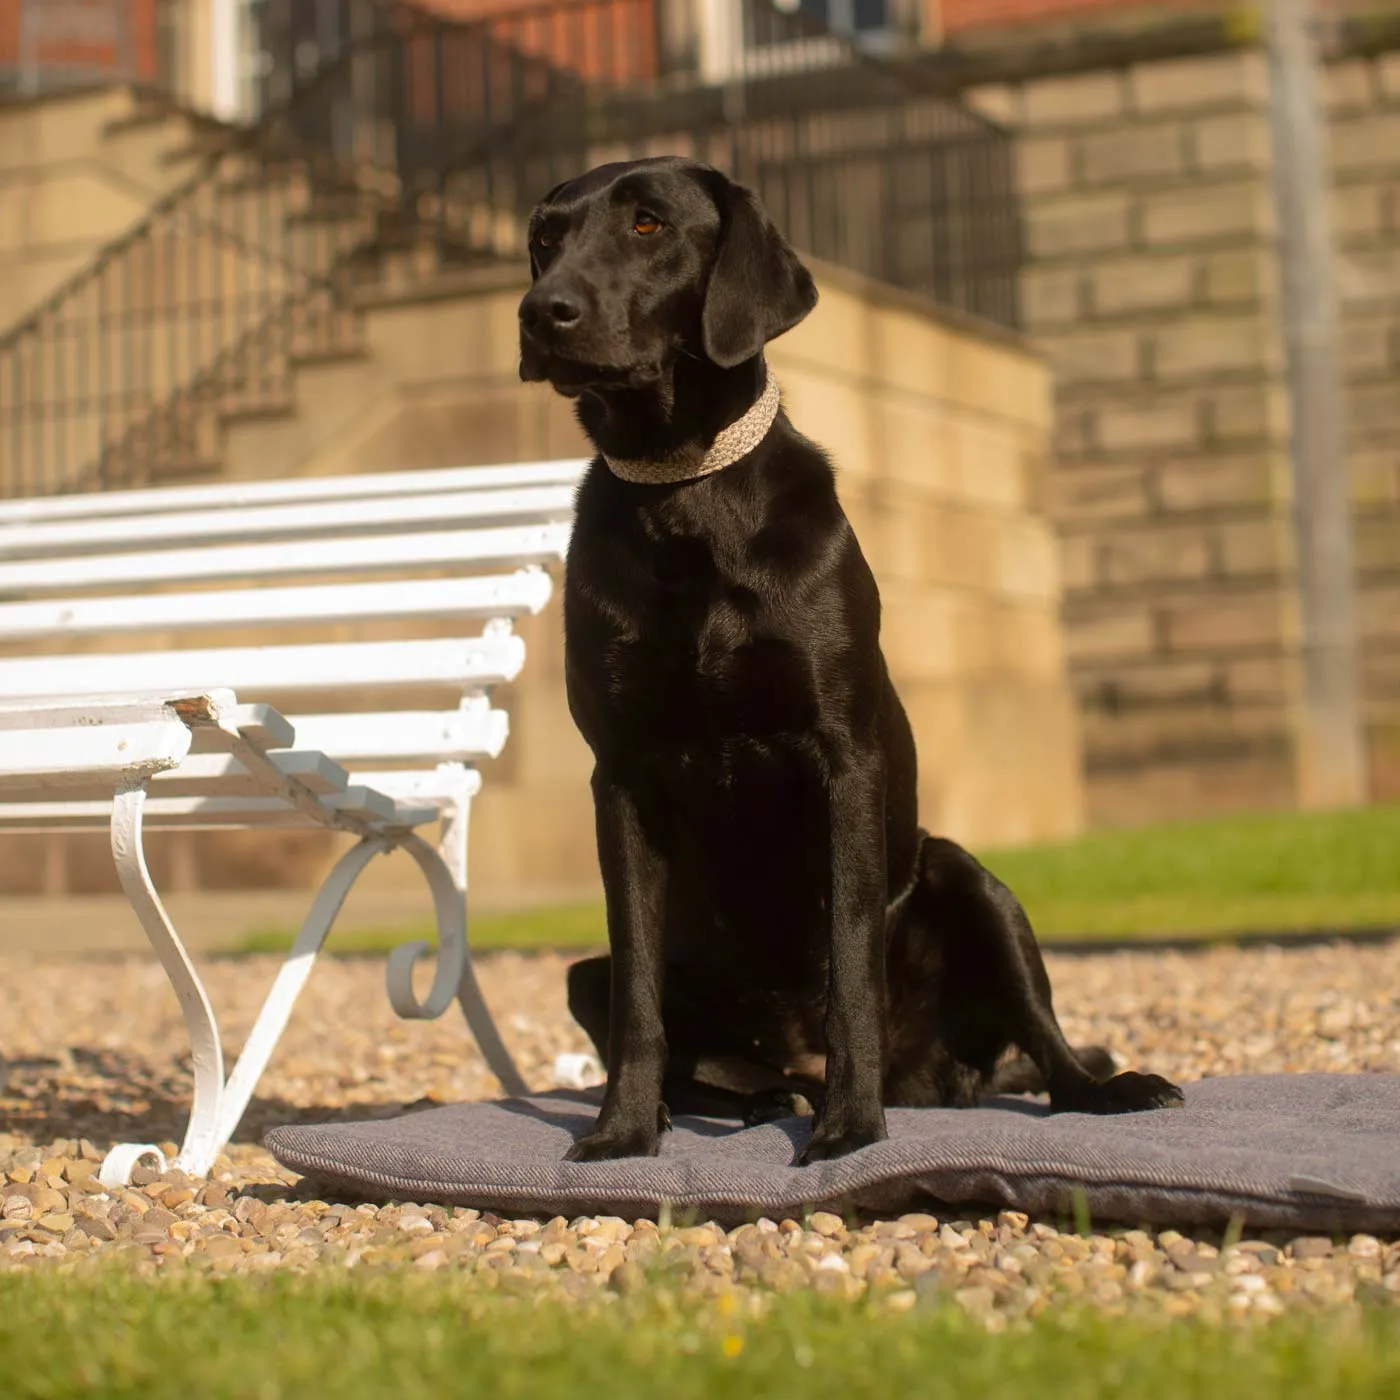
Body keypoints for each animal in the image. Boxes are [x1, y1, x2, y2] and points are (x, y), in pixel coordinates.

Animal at [515, 153, 1181, 1164]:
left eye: (647, 225)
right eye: (544, 237)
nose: (538, 310)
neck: (686, 498)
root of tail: (940, 1080)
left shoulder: (844, 757)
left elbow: (851, 965)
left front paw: (848, 1129)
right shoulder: (620, 777)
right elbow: (638, 993)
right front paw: (623, 1132)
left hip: (970, 880)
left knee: (1046, 1041)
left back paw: (1095, 1089)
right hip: (581, 974)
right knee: (677, 1031)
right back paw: (755, 1099)